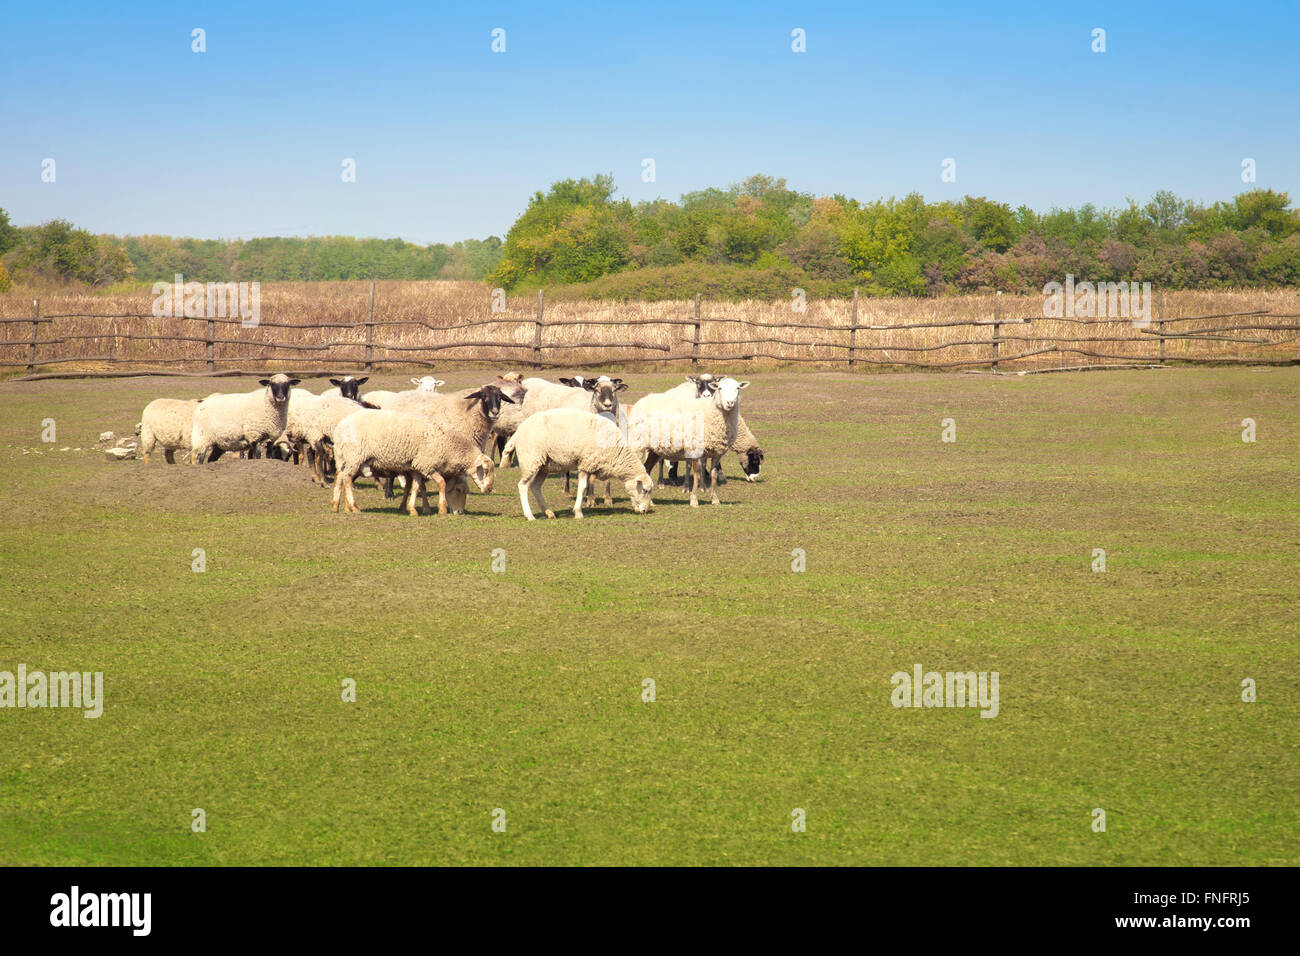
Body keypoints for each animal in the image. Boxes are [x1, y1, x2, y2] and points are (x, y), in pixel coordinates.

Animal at [331, 409, 495, 516]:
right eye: (459, 490)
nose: (460, 512)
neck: (448, 444)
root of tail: (340, 426)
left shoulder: (417, 466)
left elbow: (415, 487)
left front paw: (413, 509)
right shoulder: (427, 464)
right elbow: (441, 483)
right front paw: (441, 509)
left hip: (344, 458)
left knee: (340, 478)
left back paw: (337, 506)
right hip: (354, 457)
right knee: (347, 479)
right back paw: (354, 507)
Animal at [502, 408, 653, 520]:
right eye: (645, 490)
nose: (644, 510)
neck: (616, 451)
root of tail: (517, 432)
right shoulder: (585, 464)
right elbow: (582, 488)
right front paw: (578, 512)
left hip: (543, 466)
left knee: (535, 487)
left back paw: (549, 512)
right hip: (531, 460)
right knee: (523, 486)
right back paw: (530, 515)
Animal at [628, 376, 749, 507]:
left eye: (738, 388)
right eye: (720, 388)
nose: (730, 403)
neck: (710, 412)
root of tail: (644, 399)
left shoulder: (717, 453)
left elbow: (713, 475)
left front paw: (715, 499)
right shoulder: (695, 449)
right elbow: (696, 474)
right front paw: (694, 500)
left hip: (654, 449)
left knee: (647, 469)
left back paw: (650, 502)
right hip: (638, 444)